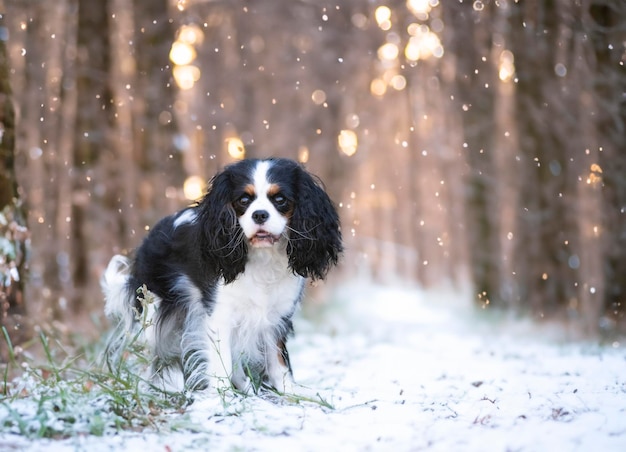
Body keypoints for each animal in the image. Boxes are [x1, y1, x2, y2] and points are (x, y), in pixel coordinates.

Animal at [101, 157, 342, 394]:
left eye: (280, 199)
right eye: (244, 200)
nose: (259, 214)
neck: (264, 258)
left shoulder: (275, 317)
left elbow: (278, 360)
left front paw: (290, 392)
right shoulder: (219, 315)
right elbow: (222, 361)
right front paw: (221, 396)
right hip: (151, 314)